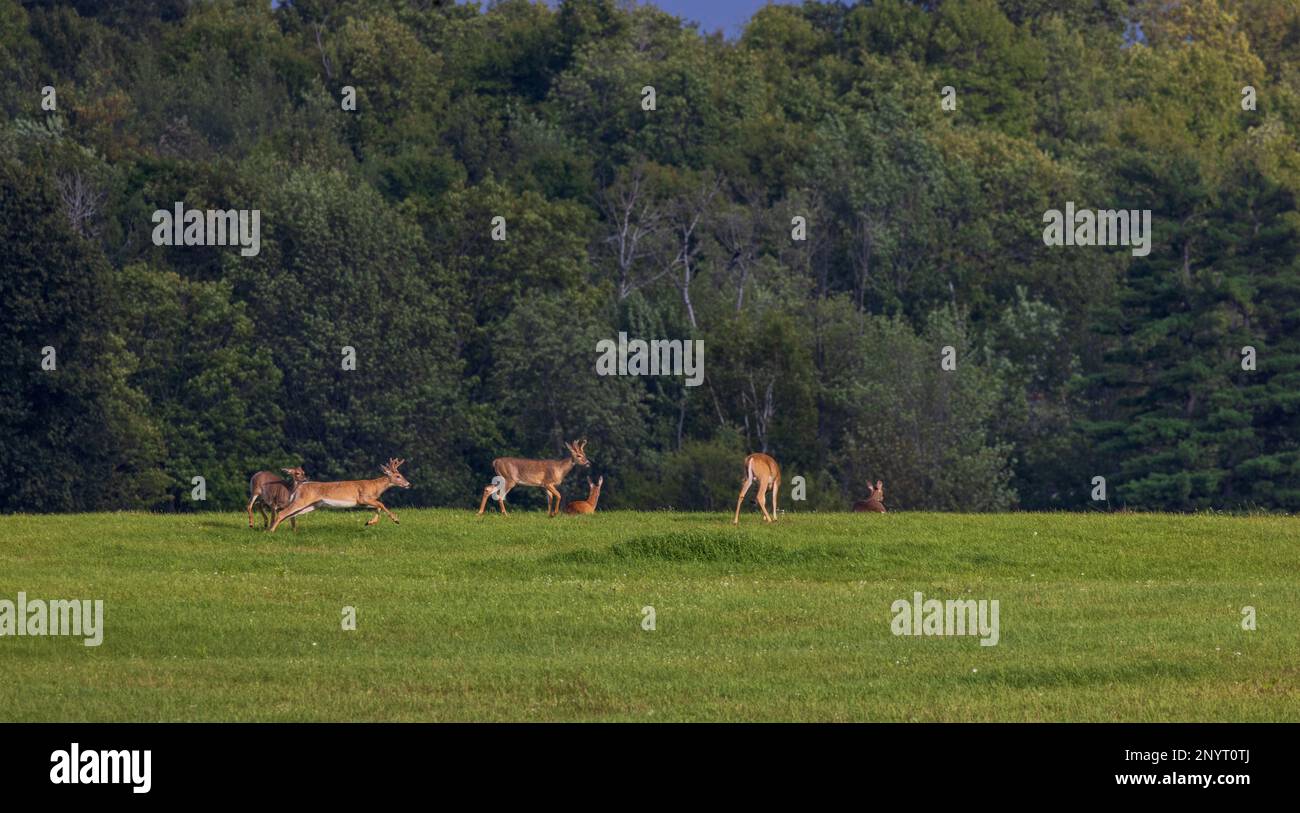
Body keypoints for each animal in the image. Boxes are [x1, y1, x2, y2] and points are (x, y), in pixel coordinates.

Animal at [271, 457, 413, 533]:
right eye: (398, 476)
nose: (408, 484)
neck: (375, 486)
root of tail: (299, 487)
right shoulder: (363, 497)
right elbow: (381, 504)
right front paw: (396, 519)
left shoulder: (363, 503)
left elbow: (378, 507)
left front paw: (369, 522)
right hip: (302, 500)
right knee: (283, 513)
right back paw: (271, 531)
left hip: (311, 505)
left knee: (289, 515)